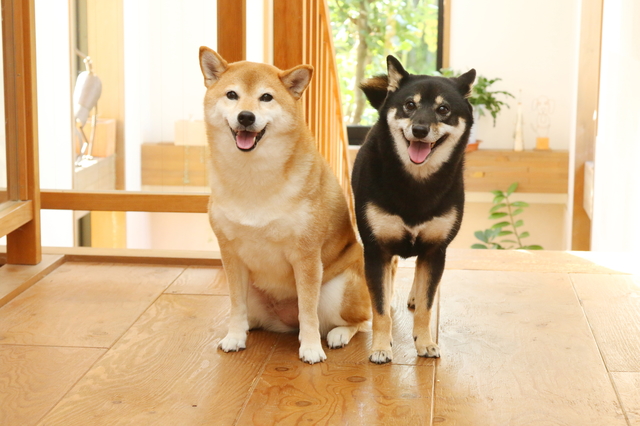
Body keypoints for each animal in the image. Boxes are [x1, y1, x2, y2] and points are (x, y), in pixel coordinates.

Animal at [199, 48, 370, 364]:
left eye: (266, 97)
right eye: (232, 95)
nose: (246, 116)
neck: (253, 176)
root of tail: (284, 321)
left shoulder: (306, 255)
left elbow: (309, 312)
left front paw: (311, 348)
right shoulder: (230, 254)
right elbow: (236, 306)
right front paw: (234, 336)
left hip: (336, 292)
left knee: (360, 321)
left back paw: (338, 334)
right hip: (254, 294)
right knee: (249, 313)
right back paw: (246, 329)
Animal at [350, 55, 476, 362]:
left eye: (443, 109)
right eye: (409, 105)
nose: (419, 130)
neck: (416, 185)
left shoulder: (435, 251)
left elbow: (427, 306)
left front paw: (425, 342)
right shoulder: (376, 249)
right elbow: (379, 307)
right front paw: (380, 346)